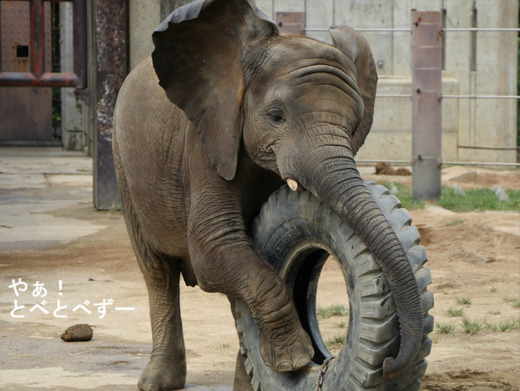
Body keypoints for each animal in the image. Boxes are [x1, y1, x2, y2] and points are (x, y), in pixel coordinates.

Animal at [112, 1, 422, 390]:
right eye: (276, 116)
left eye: (353, 126)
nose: (389, 364)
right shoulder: (208, 136)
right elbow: (211, 244)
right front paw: (294, 361)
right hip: (124, 163)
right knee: (157, 271)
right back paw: (157, 382)